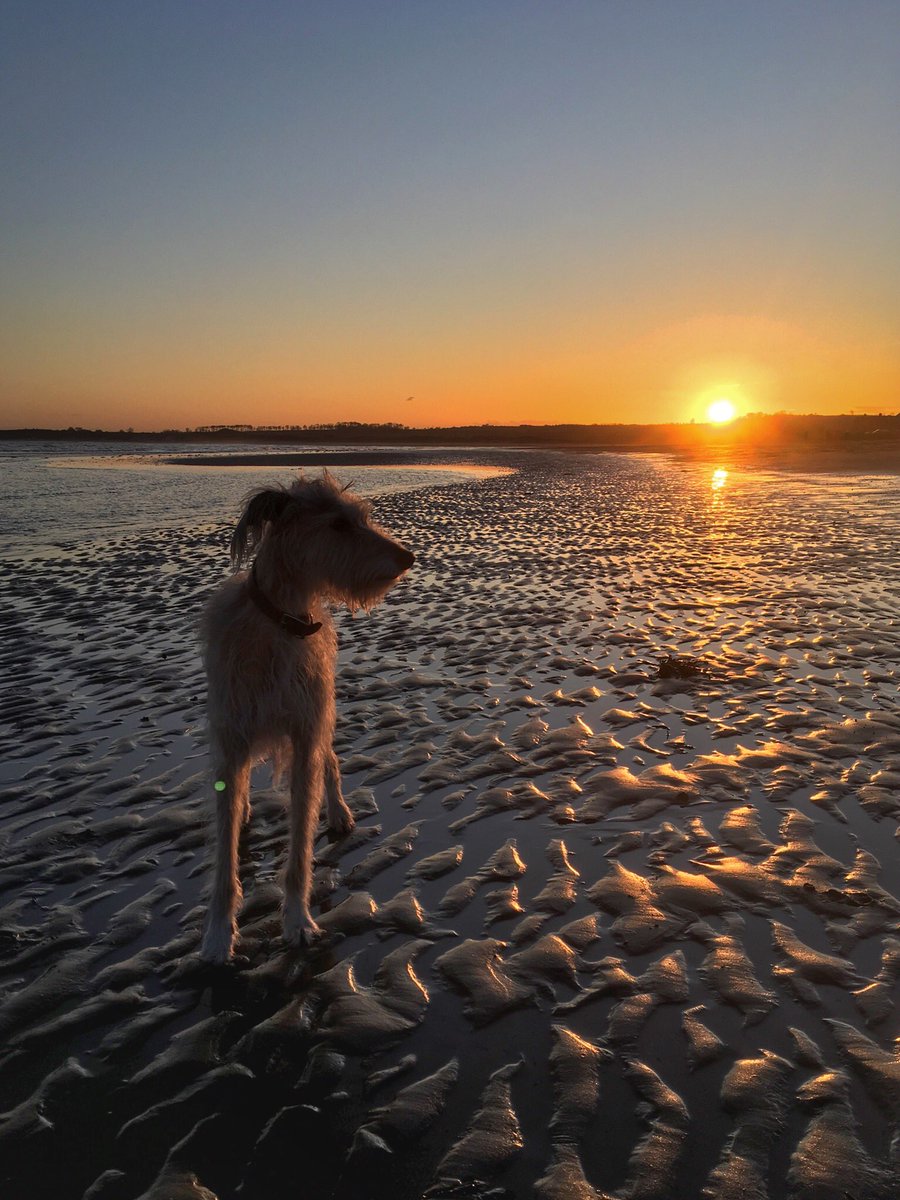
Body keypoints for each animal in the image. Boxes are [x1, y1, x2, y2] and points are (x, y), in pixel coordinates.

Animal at [199, 472, 415, 960]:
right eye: (338, 524)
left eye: (361, 518)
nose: (408, 557)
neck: (280, 622)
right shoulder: (232, 737)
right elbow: (223, 851)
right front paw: (219, 934)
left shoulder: (304, 731)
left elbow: (300, 846)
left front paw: (297, 920)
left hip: (321, 710)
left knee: (329, 760)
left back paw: (337, 811)